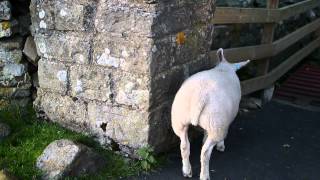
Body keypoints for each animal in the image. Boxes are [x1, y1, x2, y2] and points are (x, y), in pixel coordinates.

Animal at [171, 48, 249, 179]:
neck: (224, 68)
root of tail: (200, 95)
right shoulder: (224, 122)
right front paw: (221, 145)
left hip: (180, 121)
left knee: (184, 146)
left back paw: (187, 170)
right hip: (216, 125)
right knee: (205, 152)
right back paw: (204, 175)